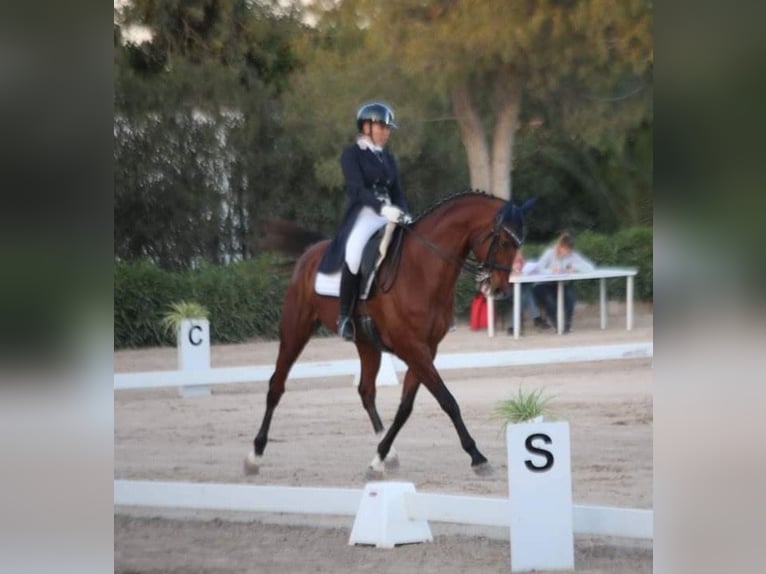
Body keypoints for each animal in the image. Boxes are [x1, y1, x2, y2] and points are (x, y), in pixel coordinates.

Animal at [244, 191, 536, 480]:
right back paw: (255, 455)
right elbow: (447, 400)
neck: (422, 269)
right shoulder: (412, 348)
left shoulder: (426, 349)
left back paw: (390, 453)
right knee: (276, 386)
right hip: (296, 329)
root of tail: (312, 251)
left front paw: (379, 458)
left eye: (519, 243)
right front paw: (478, 457)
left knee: (366, 391)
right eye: (505, 241)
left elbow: (405, 407)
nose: (499, 289)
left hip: (366, 343)